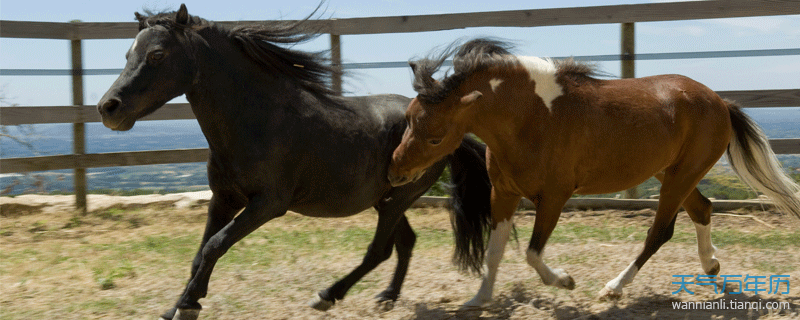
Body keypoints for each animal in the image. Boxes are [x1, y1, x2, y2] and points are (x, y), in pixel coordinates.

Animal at [96, 5, 490, 320]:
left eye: (157, 54)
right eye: (128, 53)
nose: (108, 108)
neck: (256, 119)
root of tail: (453, 131)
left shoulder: (269, 204)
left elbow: (214, 246)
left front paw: (190, 305)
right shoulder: (223, 199)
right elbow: (199, 253)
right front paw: (176, 307)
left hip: (398, 200)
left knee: (380, 250)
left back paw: (327, 296)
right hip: (387, 200)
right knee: (406, 242)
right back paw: (386, 297)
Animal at [388, 38, 800, 306]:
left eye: (436, 137)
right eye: (408, 118)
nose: (395, 173)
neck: (532, 118)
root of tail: (720, 101)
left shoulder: (555, 197)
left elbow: (532, 253)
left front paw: (565, 281)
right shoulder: (502, 193)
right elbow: (495, 251)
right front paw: (479, 299)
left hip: (681, 176)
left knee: (660, 232)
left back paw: (614, 287)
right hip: (672, 173)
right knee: (702, 209)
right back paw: (711, 265)